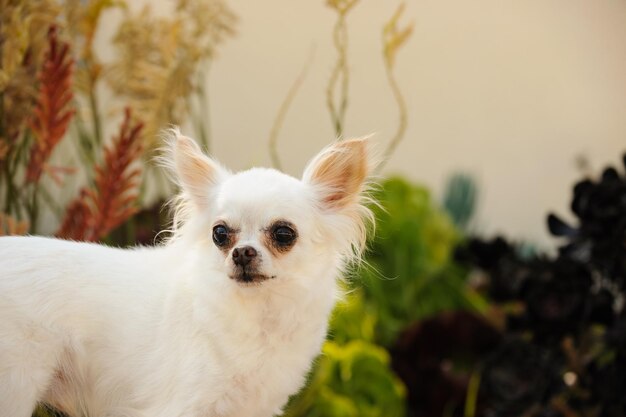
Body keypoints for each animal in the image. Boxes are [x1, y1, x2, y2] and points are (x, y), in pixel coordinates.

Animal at [0, 132, 370, 416]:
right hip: (16, 384)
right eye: (220, 233)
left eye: (283, 234)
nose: (242, 253)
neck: (256, 314)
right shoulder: (180, 405)